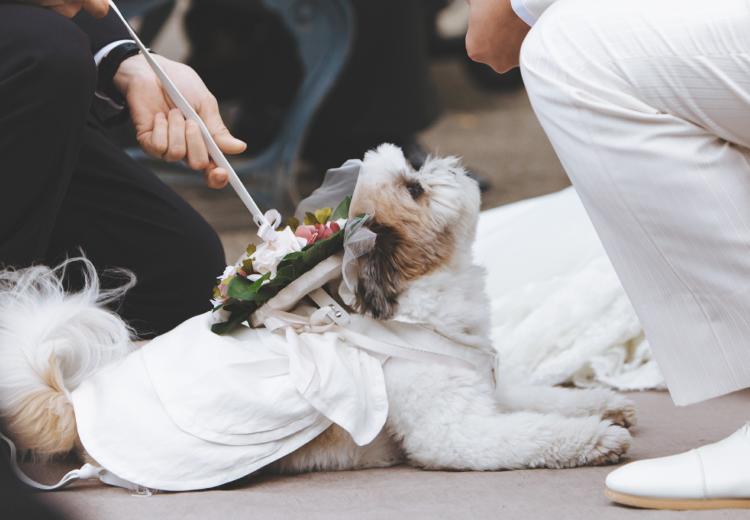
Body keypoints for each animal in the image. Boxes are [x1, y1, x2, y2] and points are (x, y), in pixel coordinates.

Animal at [0, 143, 636, 488]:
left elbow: (542, 400)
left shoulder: (486, 386)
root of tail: (74, 403)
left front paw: (601, 403)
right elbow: (531, 433)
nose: (445, 164)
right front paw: (594, 437)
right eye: (415, 187)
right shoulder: (455, 432)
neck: (412, 308)